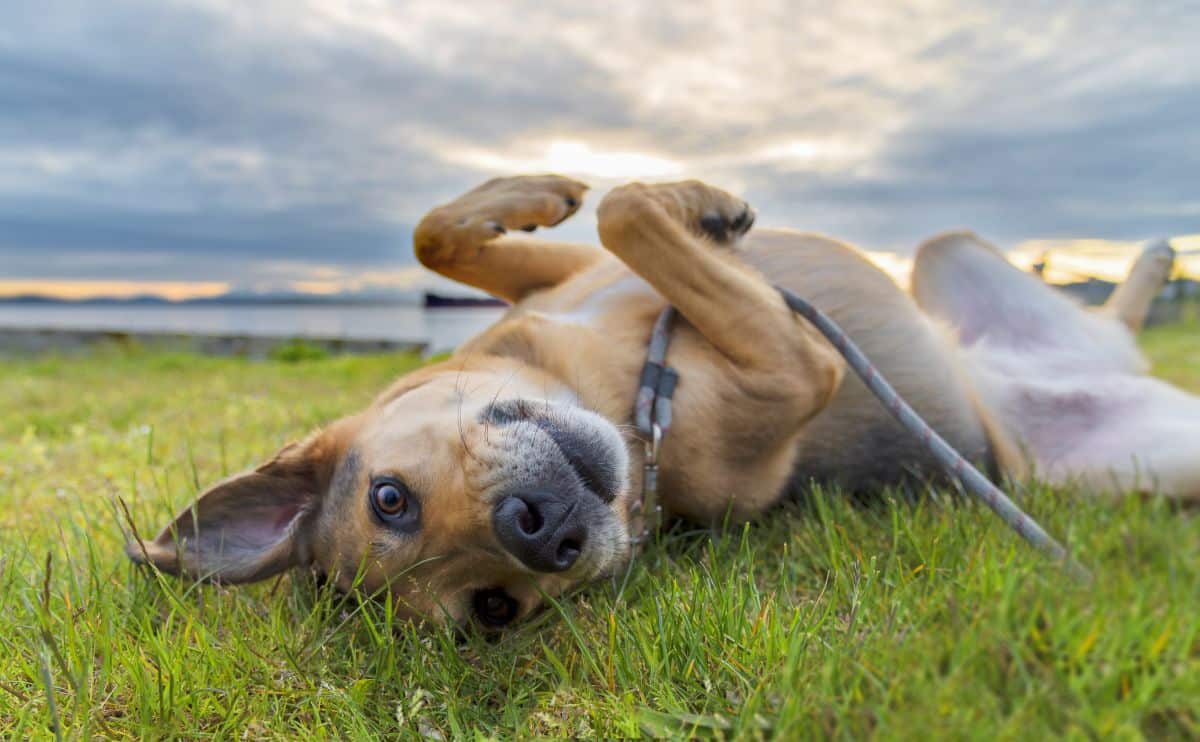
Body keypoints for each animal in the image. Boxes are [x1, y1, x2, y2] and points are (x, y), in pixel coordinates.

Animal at [126, 176, 1195, 629]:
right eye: (495, 610)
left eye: (389, 497)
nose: (538, 530)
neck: (614, 387)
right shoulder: (797, 366)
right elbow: (630, 215)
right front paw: (687, 203)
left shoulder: (565, 277)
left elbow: (461, 233)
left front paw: (560, 189)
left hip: (944, 254)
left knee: (1106, 313)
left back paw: (1150, 259)